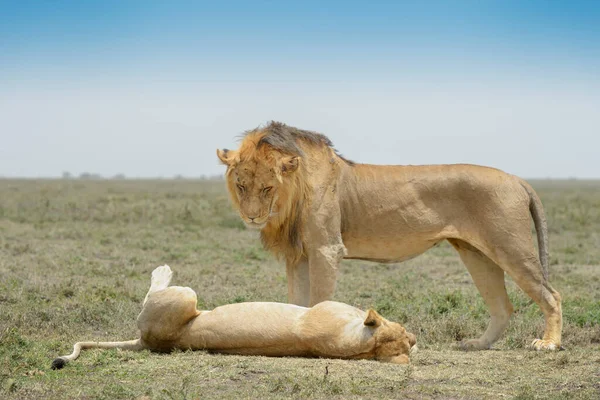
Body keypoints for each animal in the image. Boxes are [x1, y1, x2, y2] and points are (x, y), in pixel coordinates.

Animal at [51, 266, 414, 368]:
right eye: (403, 330)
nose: (415, 339)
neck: (360, 344)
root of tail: (146, 342)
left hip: (185, 297)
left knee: (155, 292)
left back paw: (163, 270)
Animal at [217, 122, 564, 350]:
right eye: (241, 185)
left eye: (267, 188)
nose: (251, 216)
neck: (291, 195)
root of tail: (518, 179)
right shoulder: (299, 255)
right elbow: (296, 302)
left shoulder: (327, 248)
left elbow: (318, 301)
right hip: (476, 254)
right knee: (503, 307)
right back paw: (477, 344)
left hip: (511, 247)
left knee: (552, 295)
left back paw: (548, 344)